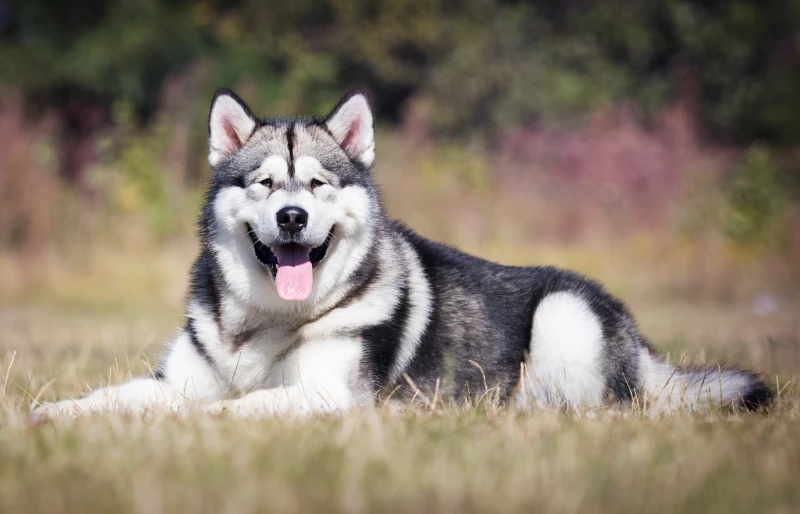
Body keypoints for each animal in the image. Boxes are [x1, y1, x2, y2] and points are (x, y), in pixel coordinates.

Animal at [29, 87, 768, 416]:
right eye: (264, 183)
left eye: (318, 185)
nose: (292, 216)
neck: (265, 324)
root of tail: (644, 348)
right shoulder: (176, 379)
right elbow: (105, 399)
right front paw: (45, 420)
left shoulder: (328, 395)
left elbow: (224, 409)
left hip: (565, 316)